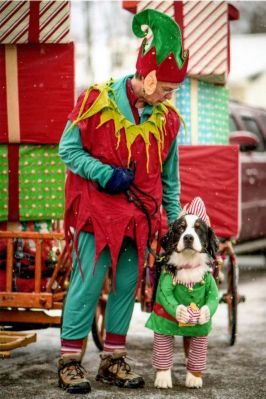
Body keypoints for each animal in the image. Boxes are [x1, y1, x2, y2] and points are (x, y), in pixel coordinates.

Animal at [147, 202, 219, 390]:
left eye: (199, 229)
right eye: (181, 228)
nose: (188, 237)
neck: (188, 264)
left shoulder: (202, 328)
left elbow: (197, 350)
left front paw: (194, 378)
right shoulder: (161, 320)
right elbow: (163, 351)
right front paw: (163, 378)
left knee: (188, 342)